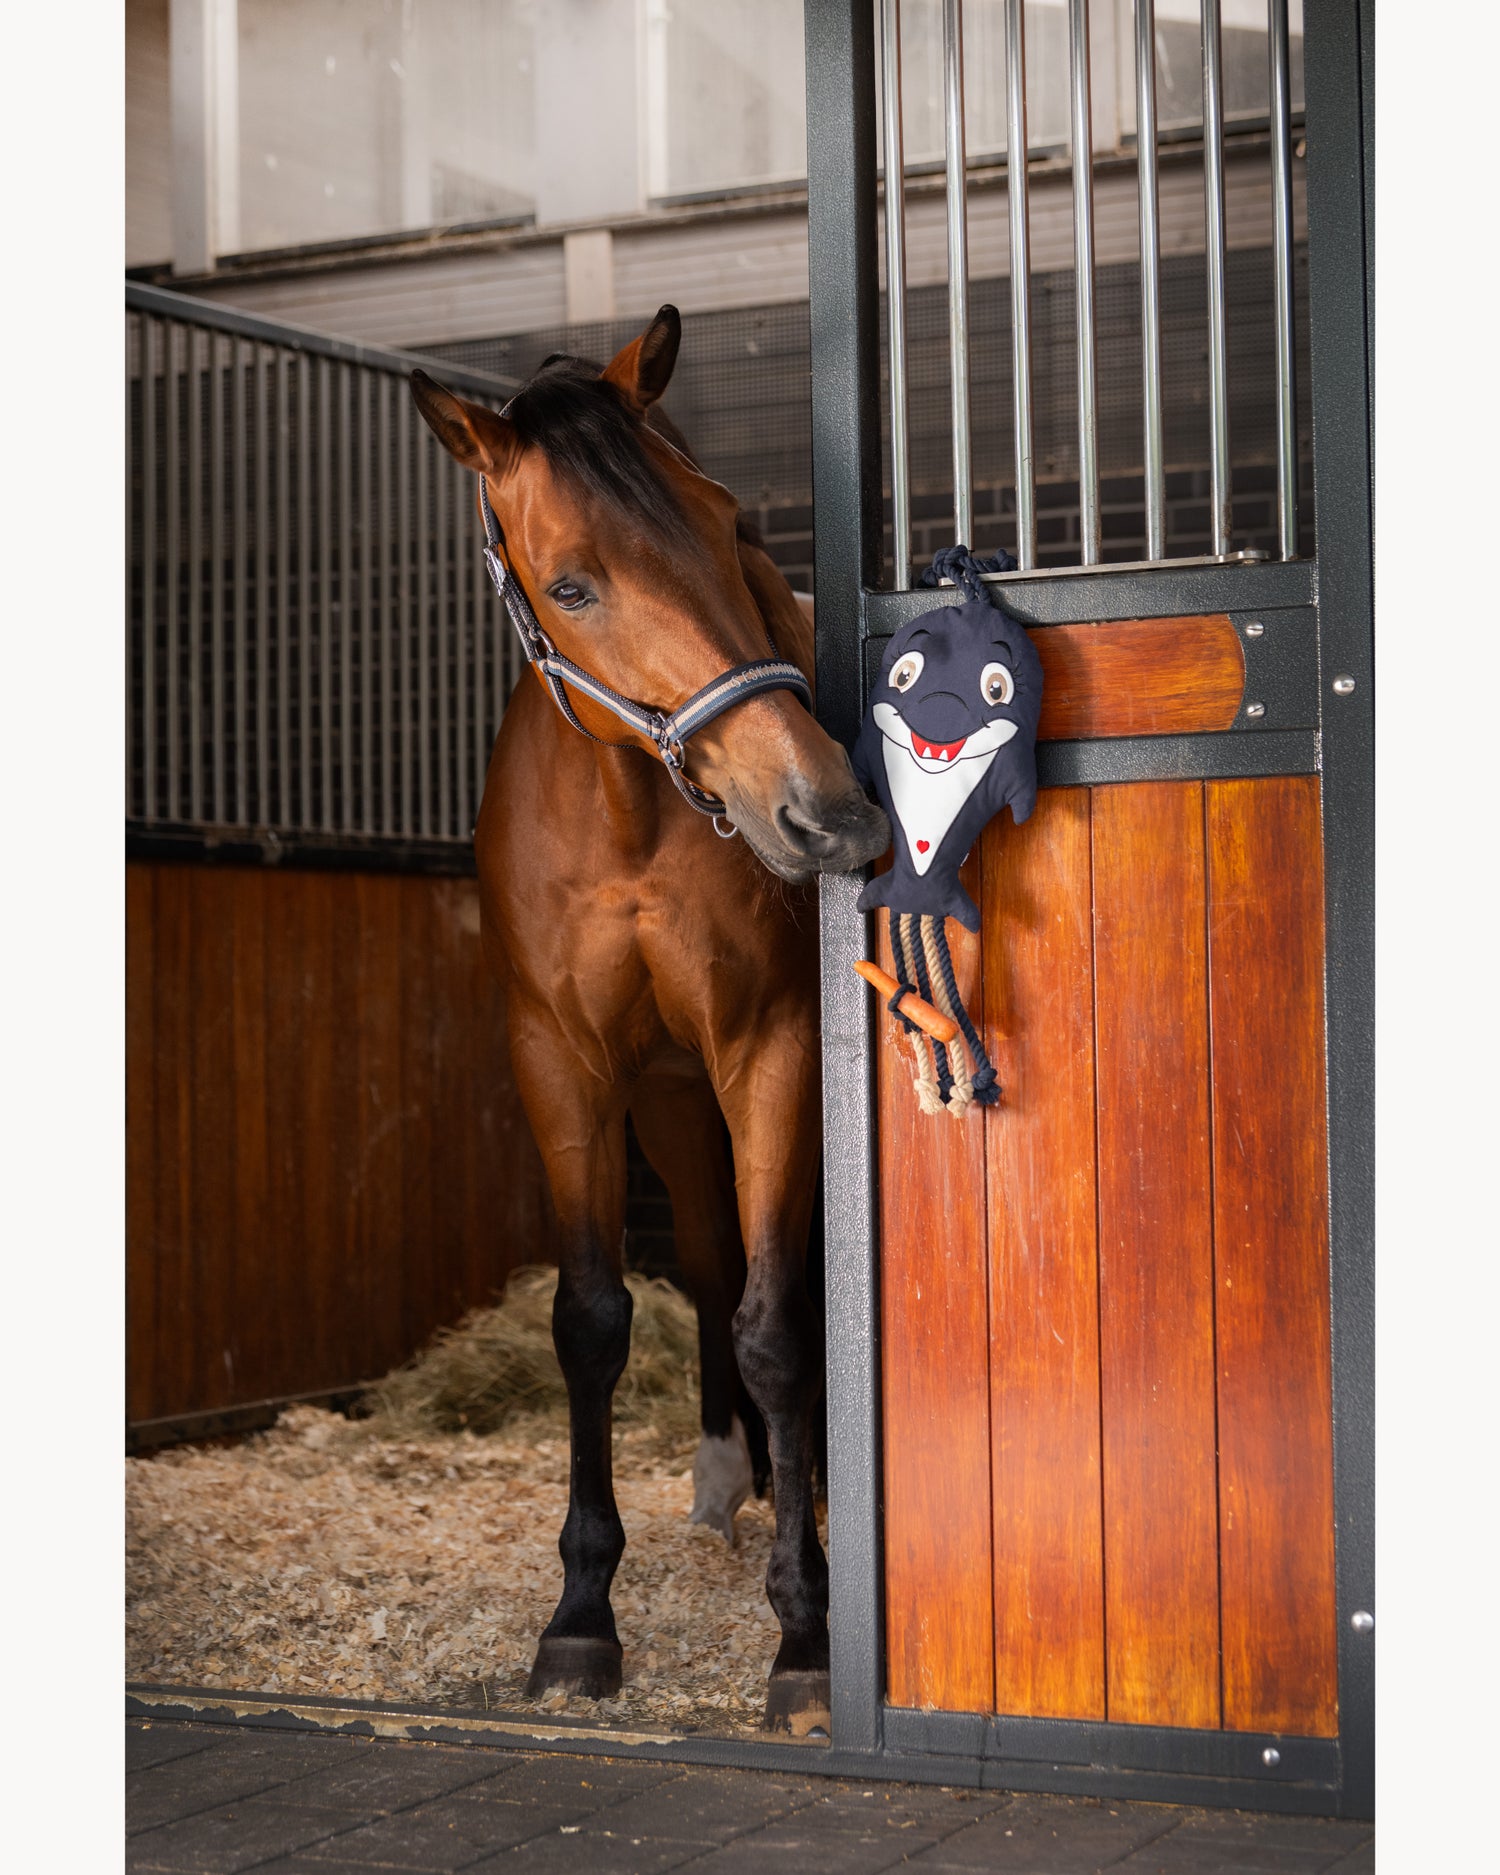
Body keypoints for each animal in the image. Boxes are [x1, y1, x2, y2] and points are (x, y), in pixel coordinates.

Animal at [410, 305, 889, 1733]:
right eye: (571, 587)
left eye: (729, 524)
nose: (827, 813)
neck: (627, 816)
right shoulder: (561, 1067)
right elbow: (593, 1321)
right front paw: (580, 1618)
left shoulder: (772, 1050)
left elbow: (781, 1326)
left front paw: (807, 1634)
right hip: (673, 1107)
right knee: (716, 1262)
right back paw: (737, 1482)